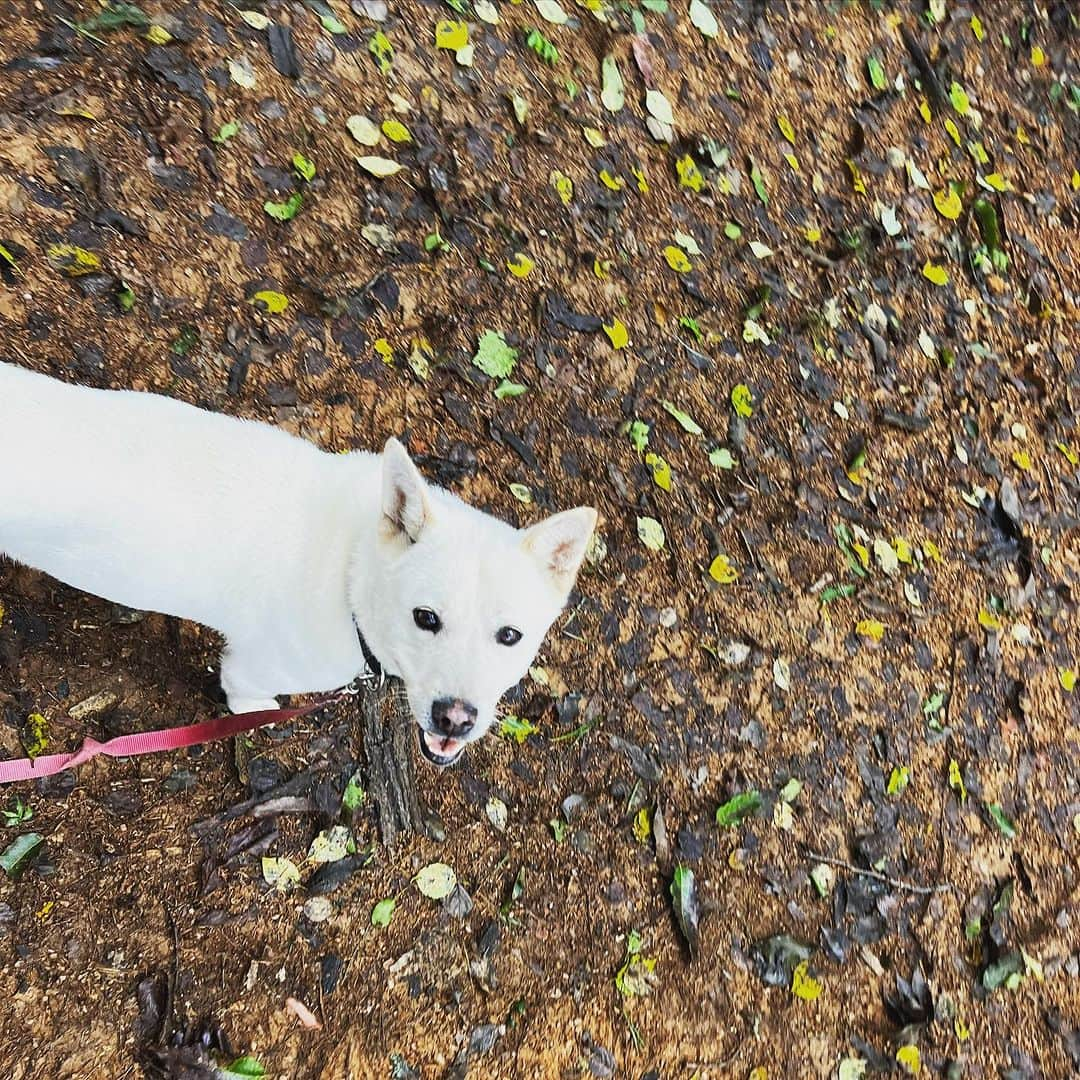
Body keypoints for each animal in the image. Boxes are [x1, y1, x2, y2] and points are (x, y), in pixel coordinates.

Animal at [0, 365, 600, 768]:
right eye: (425, 618)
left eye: (510, 635)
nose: (455, 718)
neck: (350, 567)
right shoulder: (249, 670)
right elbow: (249, 699)